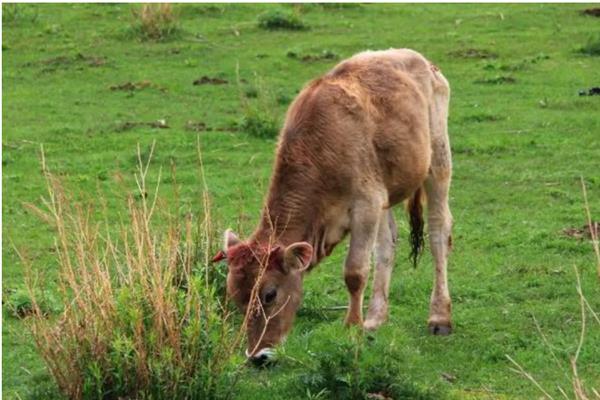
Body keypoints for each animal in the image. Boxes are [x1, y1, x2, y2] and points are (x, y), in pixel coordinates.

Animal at [216, 49, 454, 366]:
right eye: (235, 297)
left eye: (270, 294)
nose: (258, 356)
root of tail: (421, 60)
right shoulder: (374, 200)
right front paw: (362, 325)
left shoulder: (365, 205)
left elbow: (354, 273)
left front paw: (351, 329)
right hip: (386, 191)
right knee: (387, 245)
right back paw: (375, 318)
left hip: (438, 160)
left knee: (439, 232)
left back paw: (439, 317)